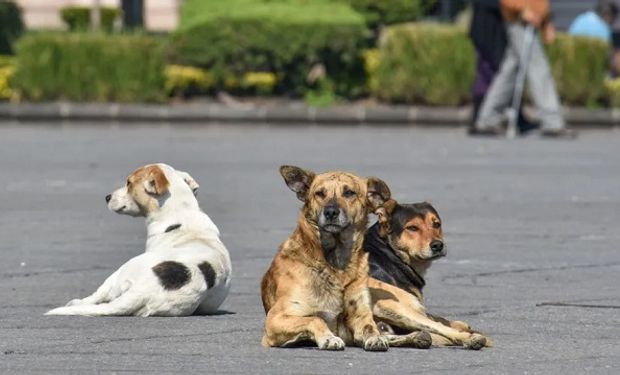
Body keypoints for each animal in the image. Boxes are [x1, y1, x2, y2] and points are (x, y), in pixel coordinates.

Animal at [260, 166, 398, 352]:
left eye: (349, 193)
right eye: (319, 193)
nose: (331, 212)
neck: (335, 263)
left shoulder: (360, 314)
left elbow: (370, 326)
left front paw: (376, 337)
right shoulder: (276, 319)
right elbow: (315, 318)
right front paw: (328, 338)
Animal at [366, 201, 492, 352]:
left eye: (436, 224)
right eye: (412, 228)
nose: (438, 245)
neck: (387, 252)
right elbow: (440, 321)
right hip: (394, 308)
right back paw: (472, 339)